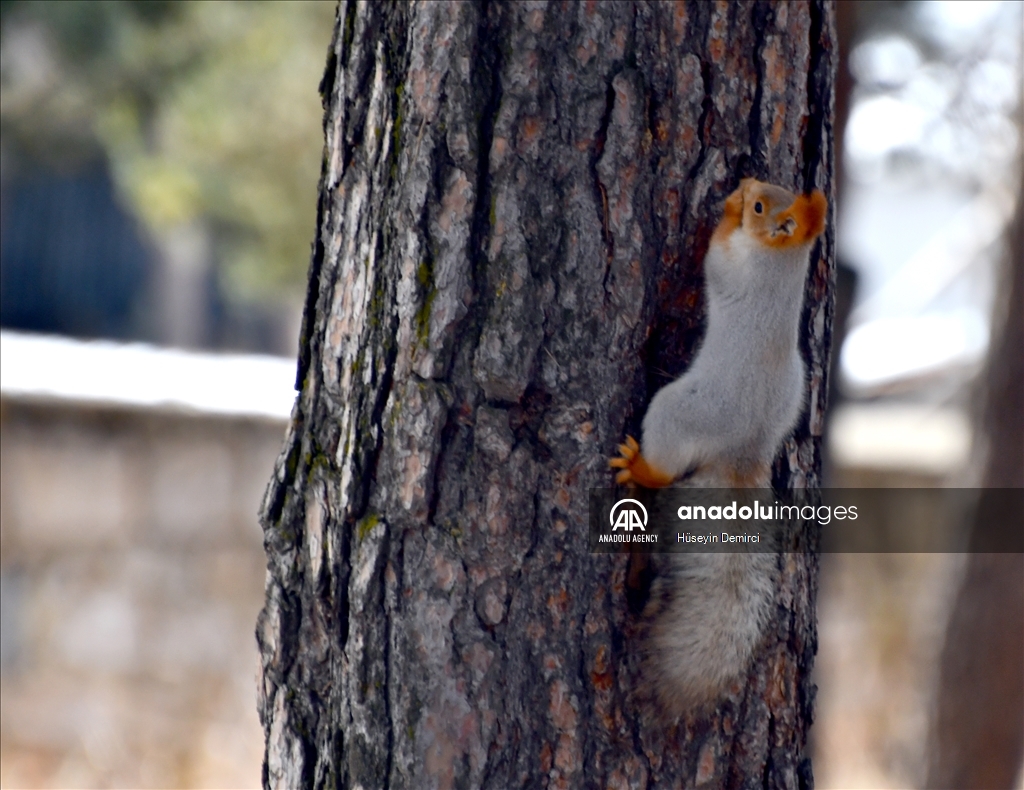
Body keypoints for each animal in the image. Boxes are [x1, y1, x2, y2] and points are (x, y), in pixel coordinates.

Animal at [606, 179, 823, 717]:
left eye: (762, 206)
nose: (747, 184)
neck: (785, 260)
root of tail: (745, 451)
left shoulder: (735, 268)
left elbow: (716, 254)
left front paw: (727, 212)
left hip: (679, 409)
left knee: (665, 464)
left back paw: (639, 466)